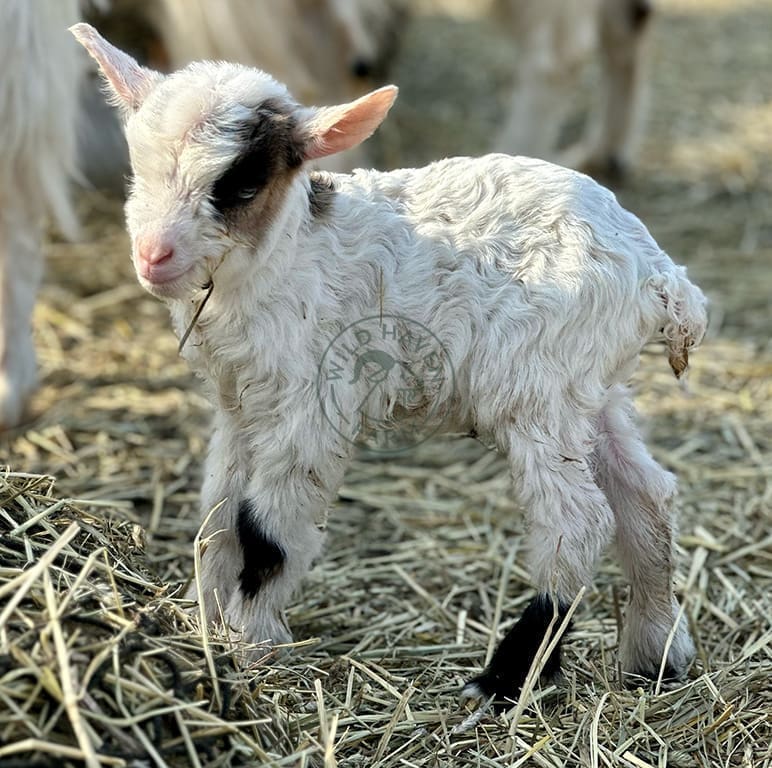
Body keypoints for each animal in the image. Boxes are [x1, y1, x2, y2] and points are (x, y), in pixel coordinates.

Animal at [73, 23, 705, 701]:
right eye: (138, 168)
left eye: (241, 183)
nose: (153, 255)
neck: (288, 254)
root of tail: (659, 274)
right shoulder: (240, 404)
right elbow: (216, 521)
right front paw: (206, 626)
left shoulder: (312, 405)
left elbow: (263, 530)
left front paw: (253, 646)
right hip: (591, 389)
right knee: (646, 497)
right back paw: (655, 654)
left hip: (537, 388)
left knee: (579, 521)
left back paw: (504, 679)